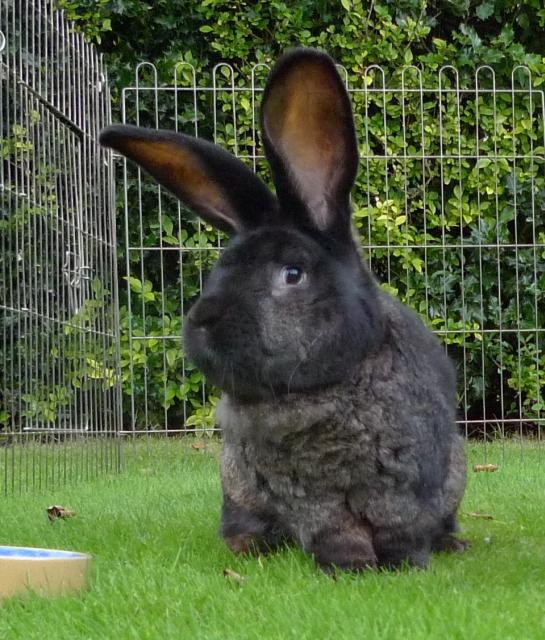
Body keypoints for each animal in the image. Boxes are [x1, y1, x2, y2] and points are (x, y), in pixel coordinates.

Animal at [100, 47, 466, 572]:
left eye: (292, 273)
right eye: (220, 269)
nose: (202, 320)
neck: (314, 392)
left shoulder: (406, 489)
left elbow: (405, 533)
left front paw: (404, 566)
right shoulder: (312, 501)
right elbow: (334, 532)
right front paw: (349, 566)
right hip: (237, 485)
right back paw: (249, 547)